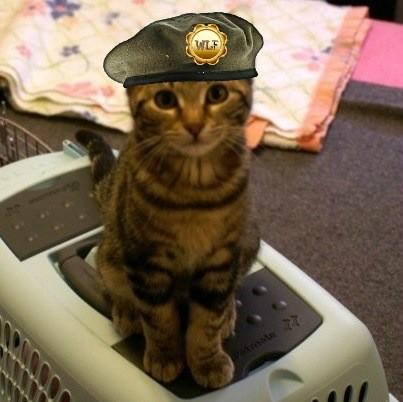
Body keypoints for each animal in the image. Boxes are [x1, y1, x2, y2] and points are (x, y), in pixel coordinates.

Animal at [75, 79, 260, 389]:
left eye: (217, 94)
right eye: (165, 100)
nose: (194, 125)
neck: (195, 192)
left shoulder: (221, 261)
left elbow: (207, 319)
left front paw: (207, 360)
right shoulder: (145, 261)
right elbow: (158, 318)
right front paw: (165, 355)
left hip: (250, 241)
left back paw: (228, 315)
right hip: (112, 249)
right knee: (109, 282)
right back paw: (126, 310)